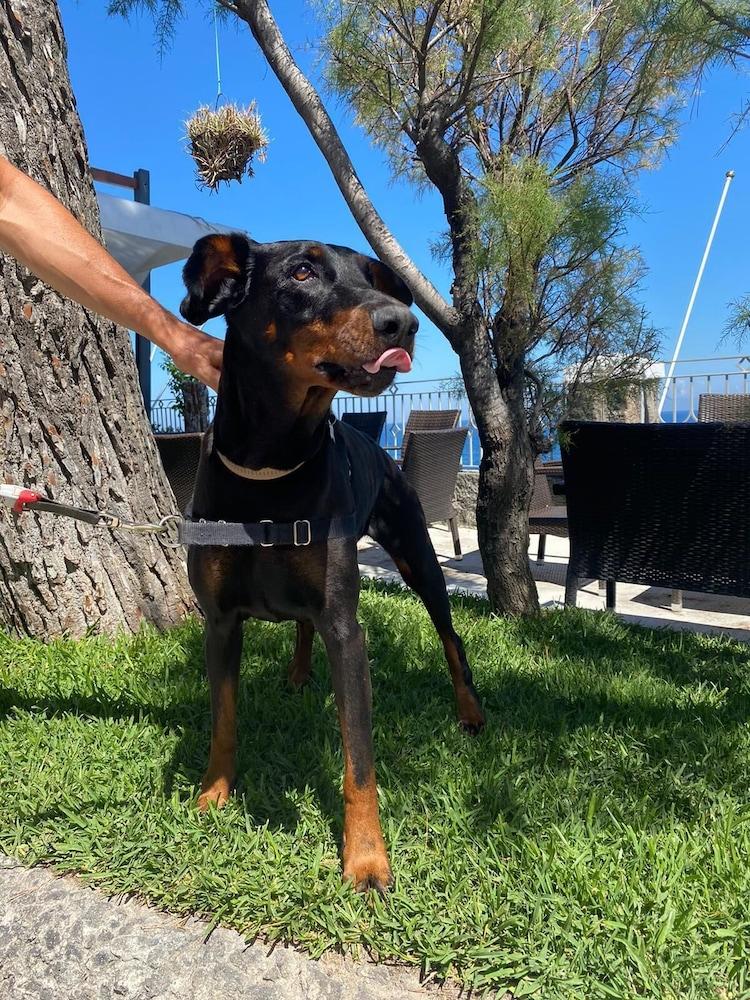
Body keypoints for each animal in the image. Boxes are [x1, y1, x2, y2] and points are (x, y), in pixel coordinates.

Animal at [179, 234, 484, 892]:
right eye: (301, 272)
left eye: (372, 276)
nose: (404, 322)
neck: (272, 469)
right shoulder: (219, 621)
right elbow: (223, 718)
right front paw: (213, 793)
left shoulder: (346, 628)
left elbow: (360, 760)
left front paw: (366, 859)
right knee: (300, 625)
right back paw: (296, 674)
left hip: (419, 559)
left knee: (452, 640)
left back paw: (470, 711)